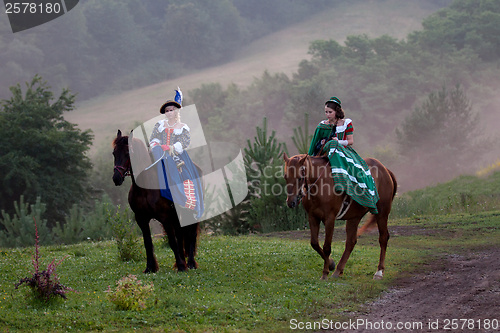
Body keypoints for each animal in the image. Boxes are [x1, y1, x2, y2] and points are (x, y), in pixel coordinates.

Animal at [113, 130, 199, 272]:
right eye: (114, 153)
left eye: (128, 153)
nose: (116, 178)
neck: (145, 187)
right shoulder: (141, 218)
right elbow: (147, 243)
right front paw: (150, 267)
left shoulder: (164, 217)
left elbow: (172, 241)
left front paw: (181, 266)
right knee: (181, 235)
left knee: (191, 234)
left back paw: (190, 263)